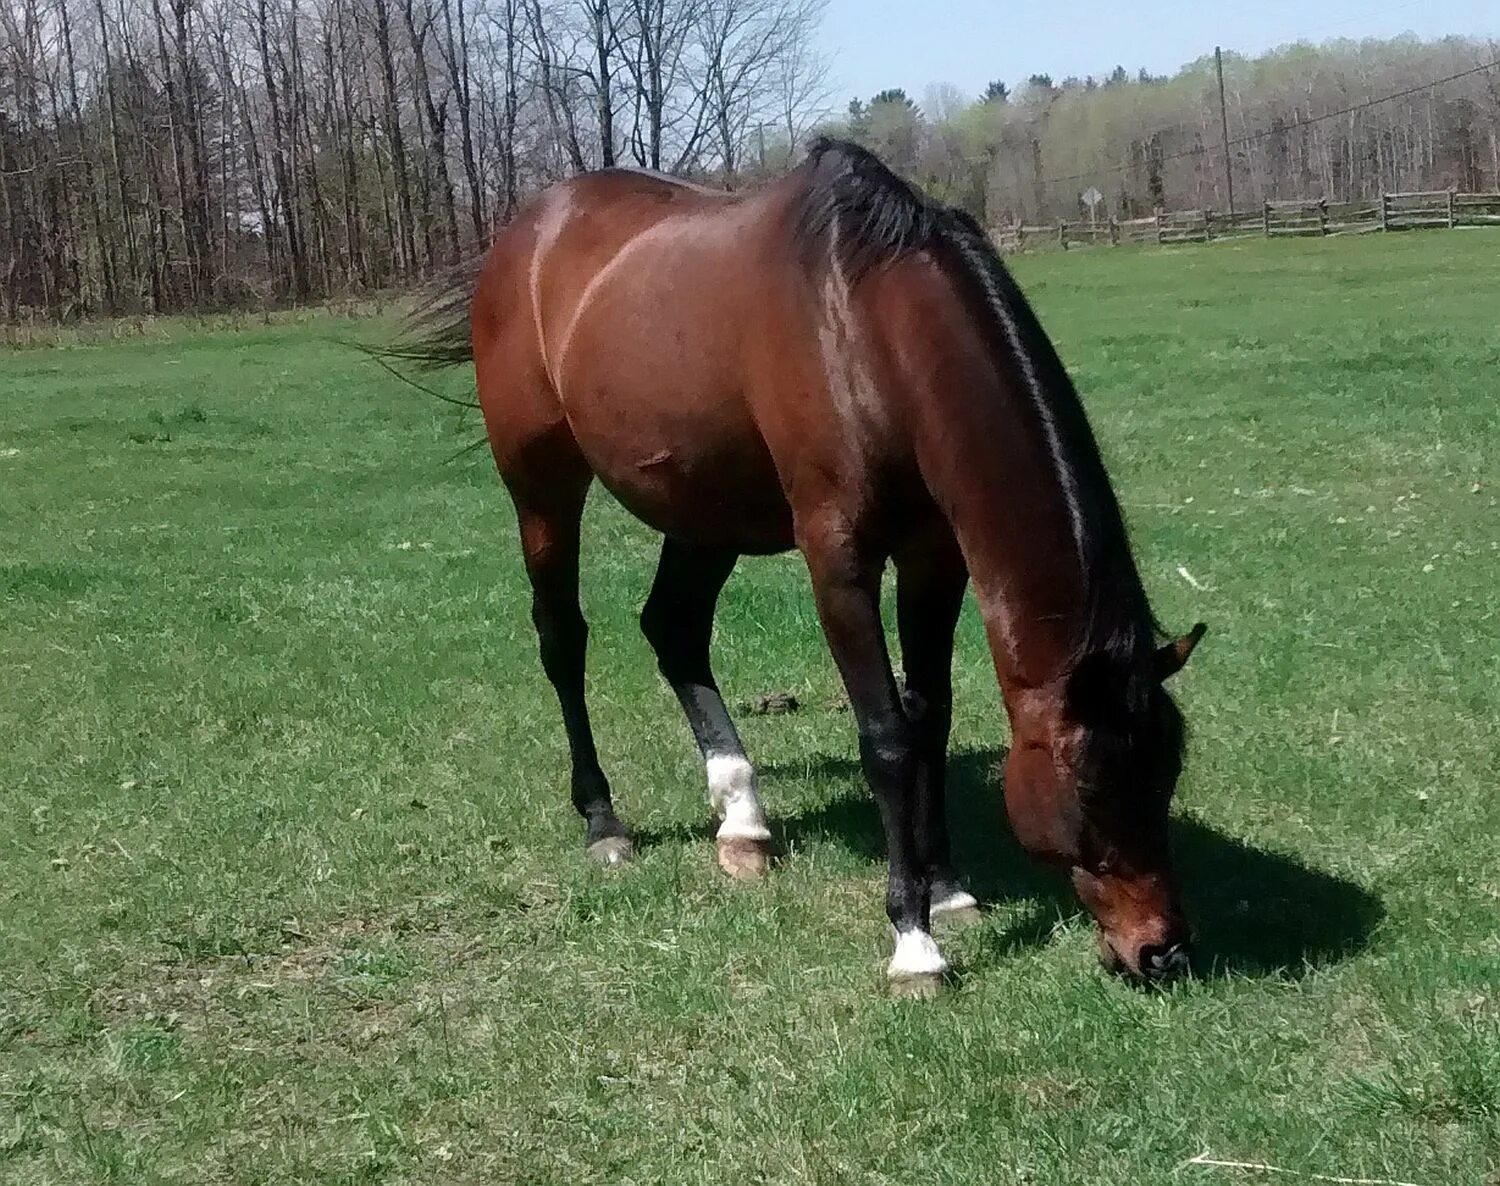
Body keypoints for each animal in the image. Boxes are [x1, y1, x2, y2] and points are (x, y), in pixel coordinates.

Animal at [390, 137, 1206, 995]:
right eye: (1091, 786)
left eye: (1168, 771)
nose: (1162, 949)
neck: (868, 325)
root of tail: (525, 233)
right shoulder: (838, 561)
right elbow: (886, 737)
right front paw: (913, 941)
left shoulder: (933, 555)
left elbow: (931, 717)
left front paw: (946, 887)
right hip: (543, 490)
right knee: (563, 640)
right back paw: (604, 821)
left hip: (703, 508)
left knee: (674, 629)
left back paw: (742, 820)